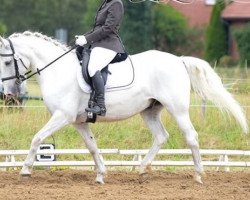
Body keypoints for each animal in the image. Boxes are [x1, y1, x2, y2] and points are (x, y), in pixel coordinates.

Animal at [0, 31, 247, 184]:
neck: (57, 70)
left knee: (191, 137)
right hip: (149, 110)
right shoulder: (79, 122)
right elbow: (92, 147)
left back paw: (198, 175)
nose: (9, 93)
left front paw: (25, 170)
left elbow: (37, 138)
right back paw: (142, 169)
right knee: (161, 136)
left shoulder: (63, 116)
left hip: (177, 109)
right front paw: (101, 175)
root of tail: (178, 60)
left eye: (7, 62)